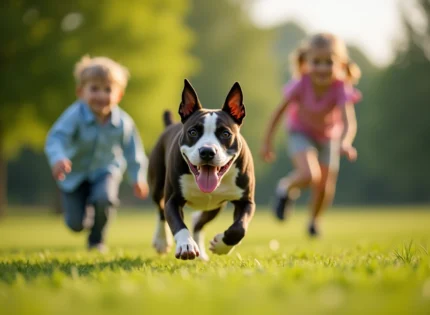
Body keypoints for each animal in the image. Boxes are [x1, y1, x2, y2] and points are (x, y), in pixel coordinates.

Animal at [149, 79, 255, 262]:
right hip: (156, 185)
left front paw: (221, 245)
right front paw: (186, 245)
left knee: (198, 223)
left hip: (215, 206)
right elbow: (177, 224)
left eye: (225, 133)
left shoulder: (246, 201)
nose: (207, 151)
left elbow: (239, 229)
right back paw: (162, 241)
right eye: (192, 132)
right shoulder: (173, 199)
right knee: (161, 209)